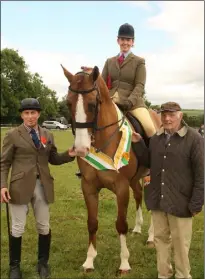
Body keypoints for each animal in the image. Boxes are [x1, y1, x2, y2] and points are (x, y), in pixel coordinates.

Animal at [61, 65, 161, 274]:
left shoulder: (121, 188)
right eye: (68, 103)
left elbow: (121, 224)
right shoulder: (89, 187)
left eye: (93, 104)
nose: (80, 149)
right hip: (135, 179)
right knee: (138, 195)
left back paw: (150, 238)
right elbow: (92, 223)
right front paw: (89, 260)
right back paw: (138, 228)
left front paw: (124, 263)